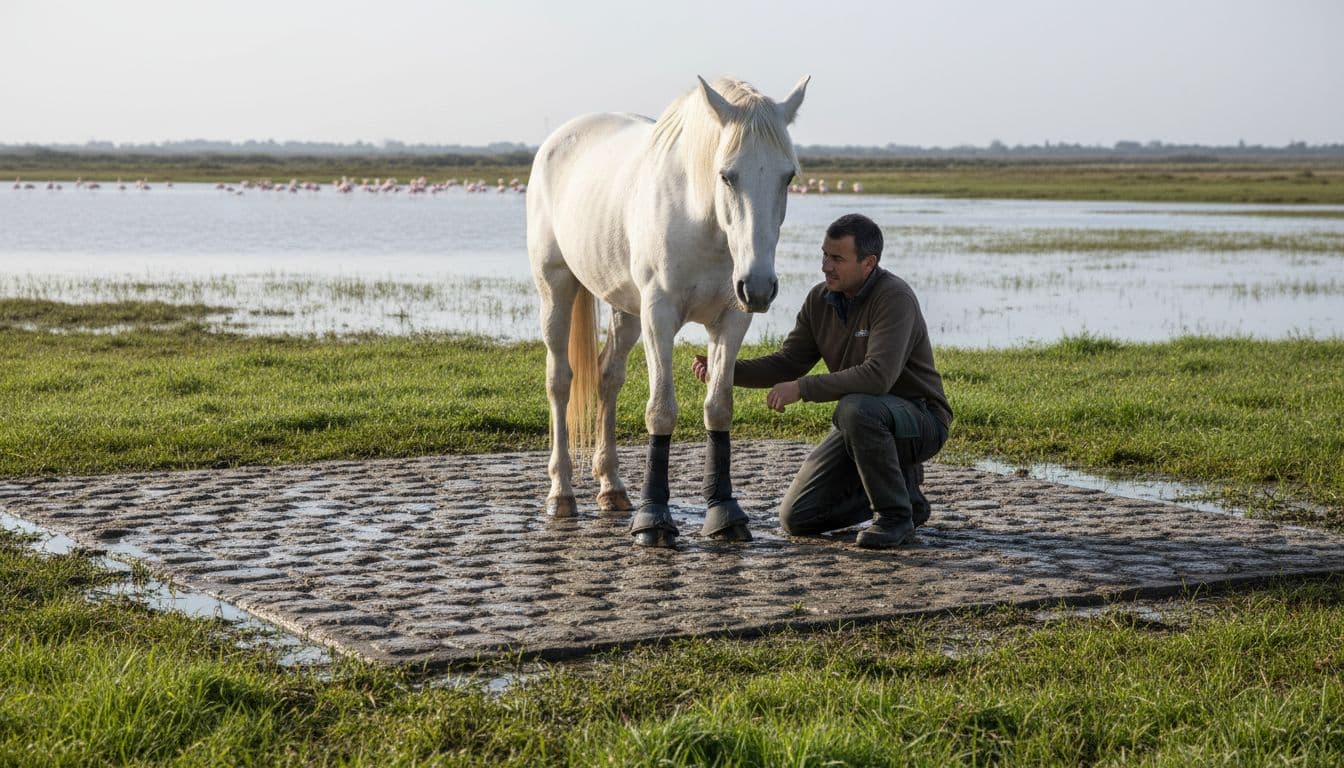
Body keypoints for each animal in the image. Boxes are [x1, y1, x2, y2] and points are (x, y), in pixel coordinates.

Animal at [528, 76, 809, 548]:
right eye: (726, 175)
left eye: (788, 176)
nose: (758, 287)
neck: (703, 221)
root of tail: (557, 139)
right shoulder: (658, 316)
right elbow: (660, 411)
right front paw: (653, 520)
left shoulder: (732, 320)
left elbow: (718, 406)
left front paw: (724, 513)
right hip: (556, 289)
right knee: (559, 381)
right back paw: (561, 493)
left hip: (625, 309)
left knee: (608, 378)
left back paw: (612, 488)